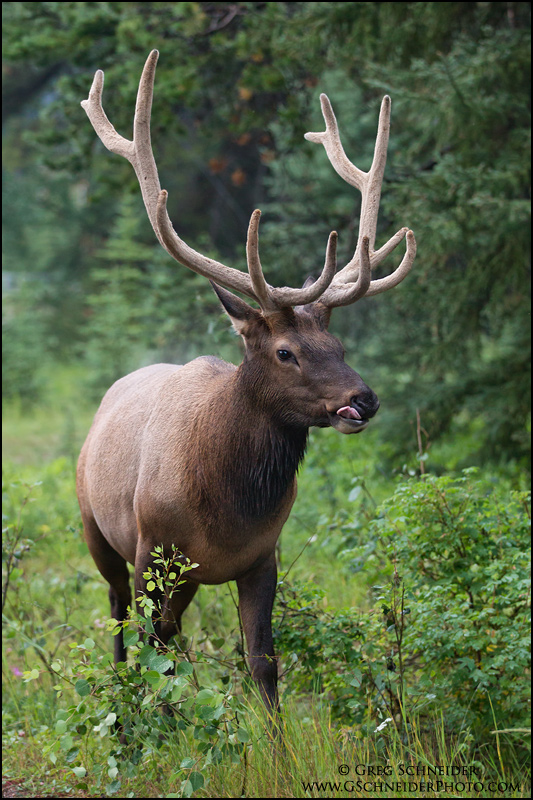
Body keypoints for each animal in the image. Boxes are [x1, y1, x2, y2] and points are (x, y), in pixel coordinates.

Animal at [77, 50, 416, 715]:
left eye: (339, 346)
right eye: (286, 352)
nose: (363, 399)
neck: (223, 508)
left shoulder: (263, 555)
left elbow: (263, 661)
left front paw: (273, 738)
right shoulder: (150, 550)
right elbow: (153, 653)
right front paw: (156, 726)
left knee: (167, 636)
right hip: (96, 530)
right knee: (123, 628)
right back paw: (129, 717)